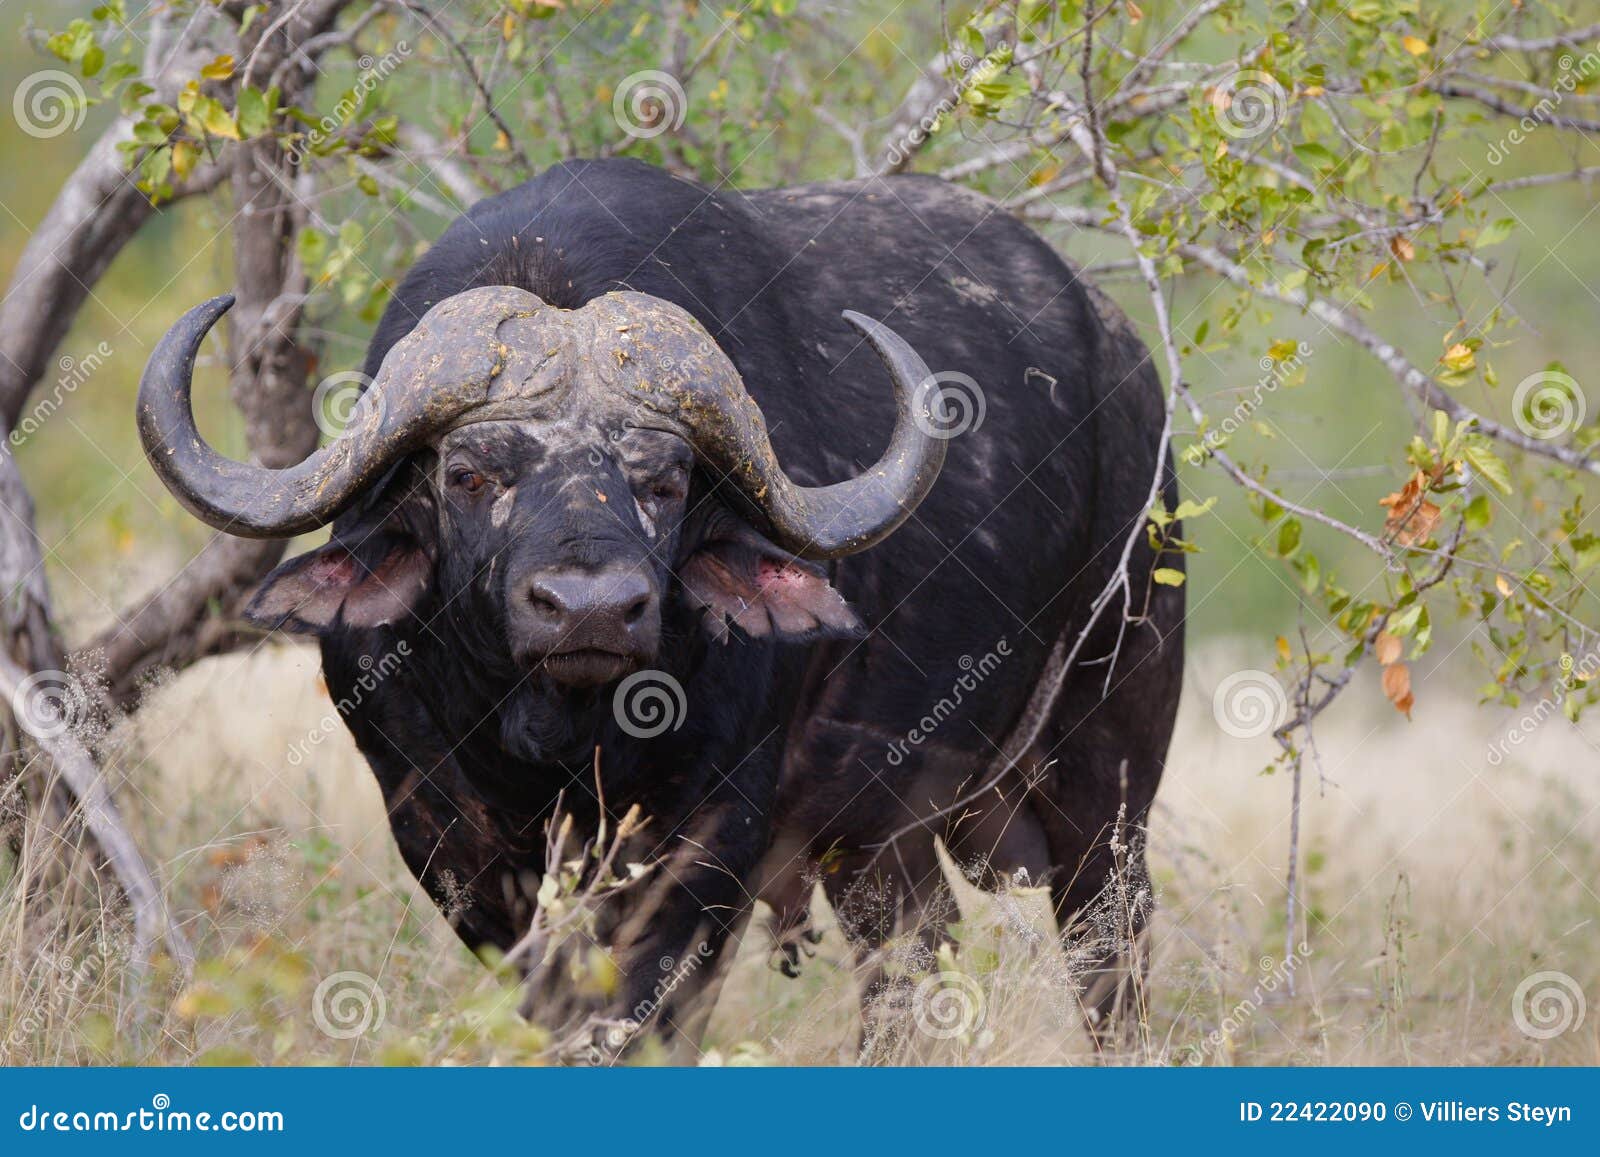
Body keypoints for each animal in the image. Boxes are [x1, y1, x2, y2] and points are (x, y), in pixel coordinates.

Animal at [138, 158, 1183, 1057]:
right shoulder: (440, 828)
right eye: (468, 474)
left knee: (1109, 952)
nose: (590, 609)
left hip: (1109, 763)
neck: (555, 737)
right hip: (879, 835)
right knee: (911, 960)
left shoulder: (711, 836)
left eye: (666, 480)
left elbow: (645, 1008)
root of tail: (1129, 374)